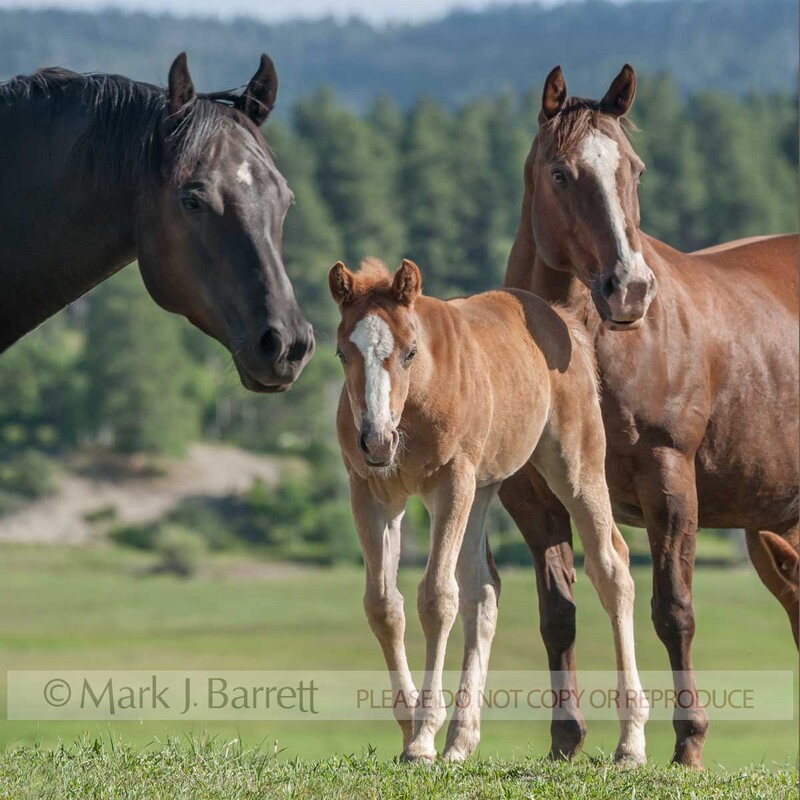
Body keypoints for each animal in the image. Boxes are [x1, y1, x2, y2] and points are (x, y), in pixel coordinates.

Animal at [330, 257, 649, 764]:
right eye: (343, 354)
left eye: (410, 353)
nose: (376, 441)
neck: (414, 404)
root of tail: (563, 321)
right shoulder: (371, 492)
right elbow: (383, 605)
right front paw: (410, 726)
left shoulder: (451, 482)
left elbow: (436, 597)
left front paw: (422, 738)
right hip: (483, 488)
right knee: (483, 590)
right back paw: (461, 740)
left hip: (573, 464)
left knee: (611, 568)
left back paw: (631, 743)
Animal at [500, 63, 799, 767]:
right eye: (560, 173)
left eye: (633, 170)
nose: (630, 290)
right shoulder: (534, 497)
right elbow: (558, 613)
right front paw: (566, 741)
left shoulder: (670, 480)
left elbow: (673, 609)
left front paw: (687, 743)